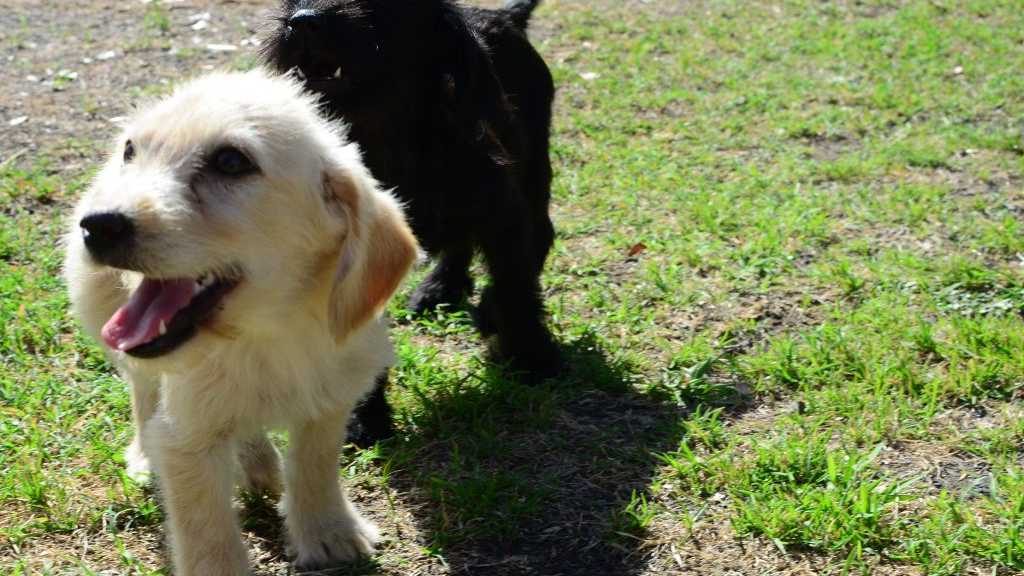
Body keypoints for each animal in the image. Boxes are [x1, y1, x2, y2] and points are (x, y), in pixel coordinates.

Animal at [65, 69, 415, 569]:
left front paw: (329, 531)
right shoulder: (187, 438)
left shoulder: (331, 396)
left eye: (231, 161)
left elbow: (316, 464)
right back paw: (148, 454)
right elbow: (206, 529)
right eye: (132, 150)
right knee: (143, 386)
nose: (97, 225)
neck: (268, 333)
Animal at [260, 0, 561, 438]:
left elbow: (516, 287)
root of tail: (506, 15)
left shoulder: (503, 215)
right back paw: (440, 288)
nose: (302, 22)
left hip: (534, 171)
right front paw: (364, 416)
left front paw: (532, 356)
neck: (390, 144)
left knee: (538, 238)